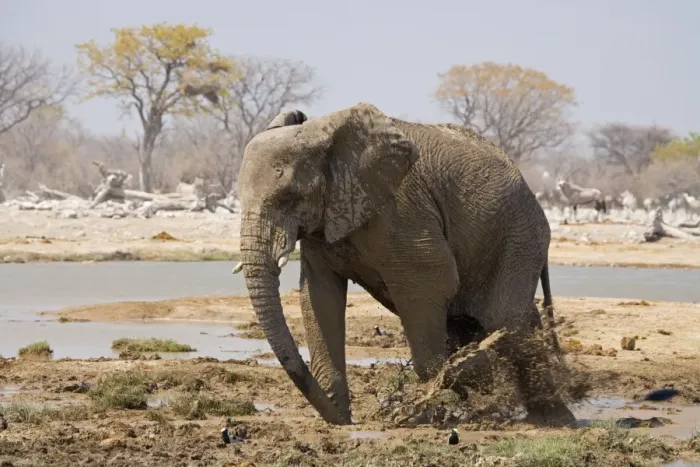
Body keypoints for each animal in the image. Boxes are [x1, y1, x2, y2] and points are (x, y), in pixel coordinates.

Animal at [234, 103, 576, 427]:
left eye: (290, 196)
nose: (346, 420)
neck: (321, 132)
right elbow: (319, 296)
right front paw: (340, 417)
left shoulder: (401, 210)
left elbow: (428, 284)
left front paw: (435, 403)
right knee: (500, 322)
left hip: (517, 236)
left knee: (505, 320)